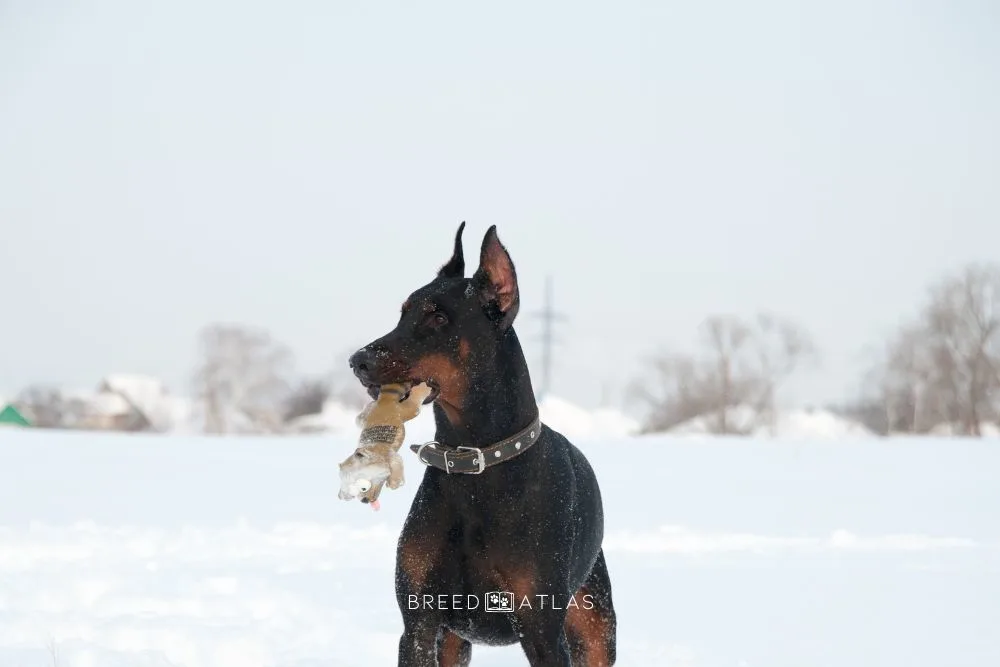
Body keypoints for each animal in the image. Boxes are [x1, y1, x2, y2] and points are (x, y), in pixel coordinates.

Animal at [352, 224, 616, 667]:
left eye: (439, 317)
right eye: (403, 311)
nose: (358, 360)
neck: (473, 464)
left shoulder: (543, 631)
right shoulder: (419, 625)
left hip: (595, 625)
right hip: (454, 642)